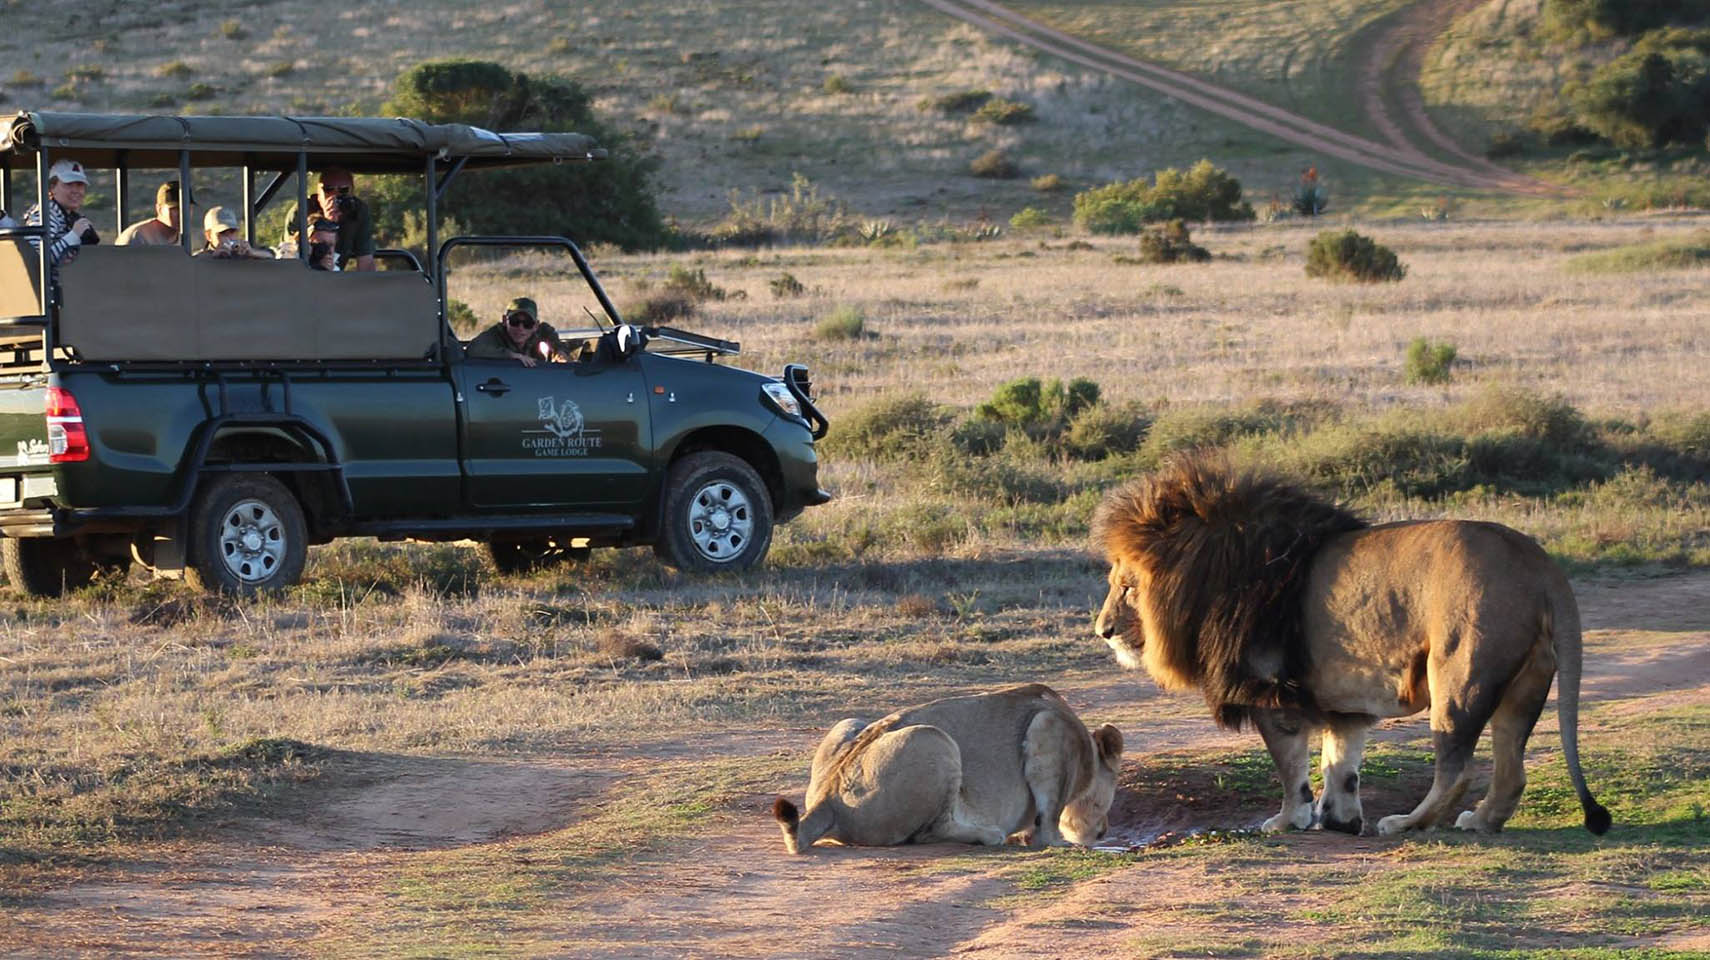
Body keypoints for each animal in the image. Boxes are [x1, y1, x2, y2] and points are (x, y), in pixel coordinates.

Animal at [1094, 451, 1600, 835]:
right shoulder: (1342, 705)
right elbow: (1341, 763)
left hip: (1459, 673)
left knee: (1457, 770)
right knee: (1512, 770)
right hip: (1525, 682)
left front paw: (1288, 820)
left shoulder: (1268, 692)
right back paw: (1480, 822)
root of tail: (1538, 561)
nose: (1103, 630)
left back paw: (1406, 824)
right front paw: (1339, 818)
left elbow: (1291, 768)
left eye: (1127, 587)